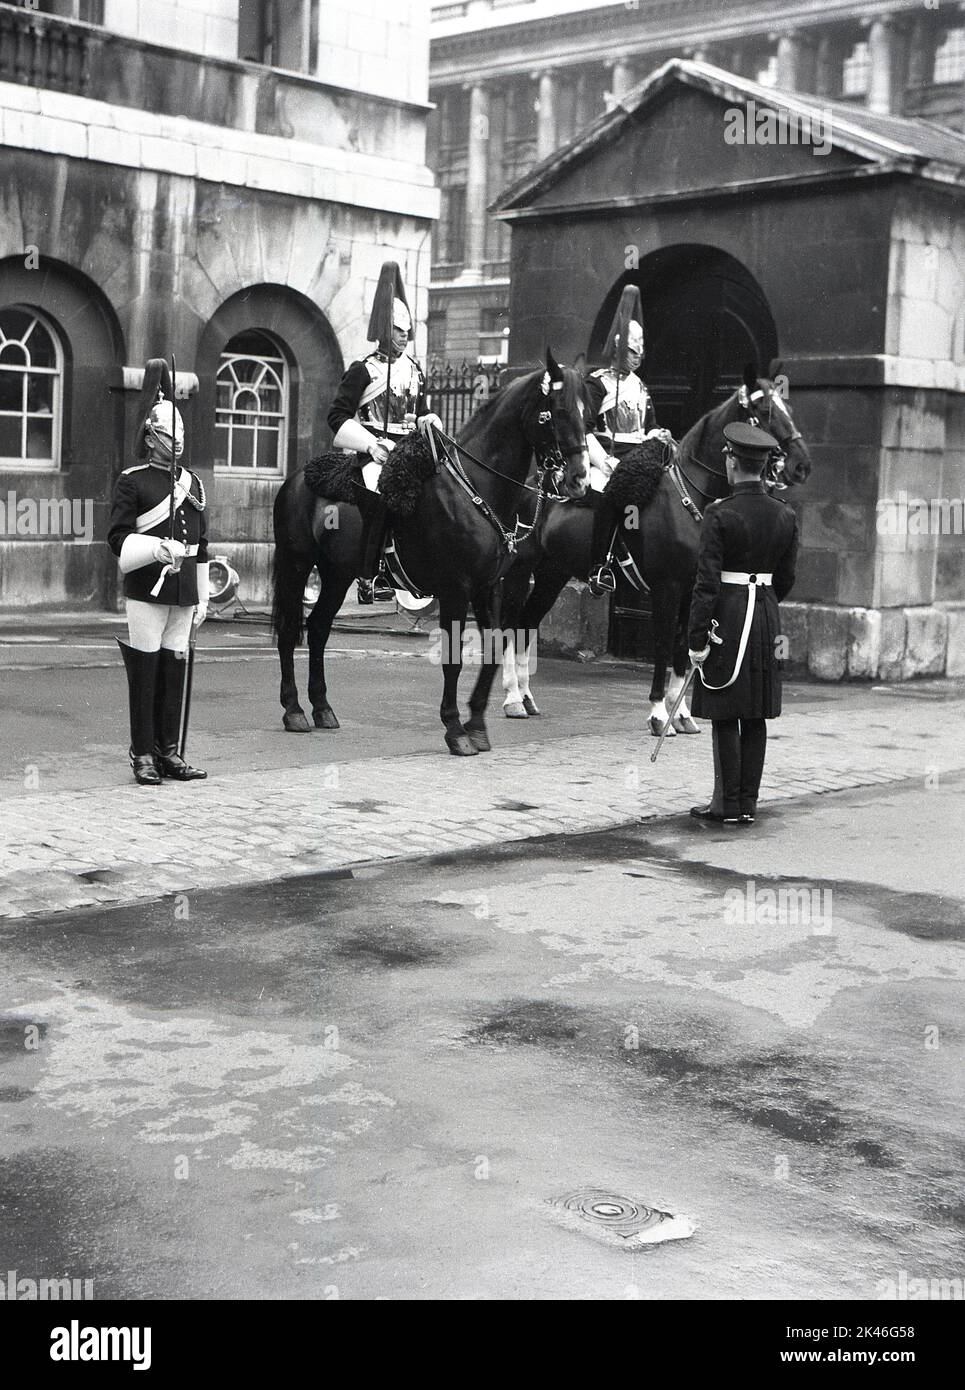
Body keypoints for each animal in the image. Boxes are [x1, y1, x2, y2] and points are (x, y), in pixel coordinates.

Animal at [272, 353, 589, 756]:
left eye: (585, 411)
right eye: (555, 412)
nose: (580, 479)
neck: (476, 488)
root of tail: (297, 478)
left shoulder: (488, 588)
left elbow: (493, 649)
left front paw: (477, 726)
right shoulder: (456, 590)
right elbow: (453, 660)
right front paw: (455, 729)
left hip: (337, 573)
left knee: (318, 629)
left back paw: (322, 708)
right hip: (297, 564)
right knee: (289, 632)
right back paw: (294, 710)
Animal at [503, 366, 812, 739]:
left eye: (788, 408)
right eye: (765, 411)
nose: (801, 465)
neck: (691, 498)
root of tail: (533, 482)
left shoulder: (694, 591)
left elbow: (683, 649)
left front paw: (682, 715)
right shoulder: (668, 589)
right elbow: (664, 647)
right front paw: (657, 714)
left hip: (553, 574)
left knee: (526, 623)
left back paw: (526, 696)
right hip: (523, 570)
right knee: (510, 625)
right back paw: (511, 698)